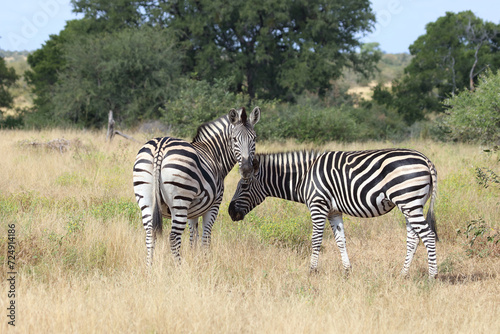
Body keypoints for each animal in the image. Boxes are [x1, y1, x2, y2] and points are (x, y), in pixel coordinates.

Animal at [135, 107, 264, 266]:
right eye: (234, 139)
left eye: (254, 138)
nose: (246, 170)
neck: (214, 153)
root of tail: (160, 147)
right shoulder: (214, 205)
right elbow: (205, 237)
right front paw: (206, 261)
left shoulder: (193, 211)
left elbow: (193, 237)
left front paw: (195, 258)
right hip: (180, 201)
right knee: (173, 238)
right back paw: (179, 267)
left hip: (146, 199)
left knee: (150, 235)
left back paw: (149, 268)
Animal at [229, 149, 440, 280]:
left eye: (244, 185)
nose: (231, 212)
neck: (304, 177)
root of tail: (425, 159)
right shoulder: (333, 212)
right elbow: (340, 240)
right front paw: (347, 271)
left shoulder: (318, 206)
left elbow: (315, 240)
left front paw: (312, 271)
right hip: (411, 204)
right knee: (413, 238)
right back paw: (403, 274)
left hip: (408, 200)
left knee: (428, 235)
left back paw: (432, 276)